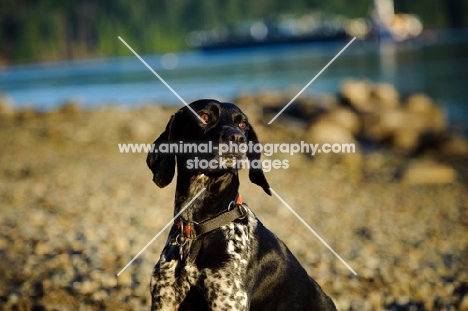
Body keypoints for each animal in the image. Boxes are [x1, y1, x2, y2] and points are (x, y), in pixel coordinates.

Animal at [146, 100, 336, 311]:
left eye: (243, 124)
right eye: (204, 117)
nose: (237, 137)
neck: (197, 229)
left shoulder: (227, 302)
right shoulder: (164, 300)